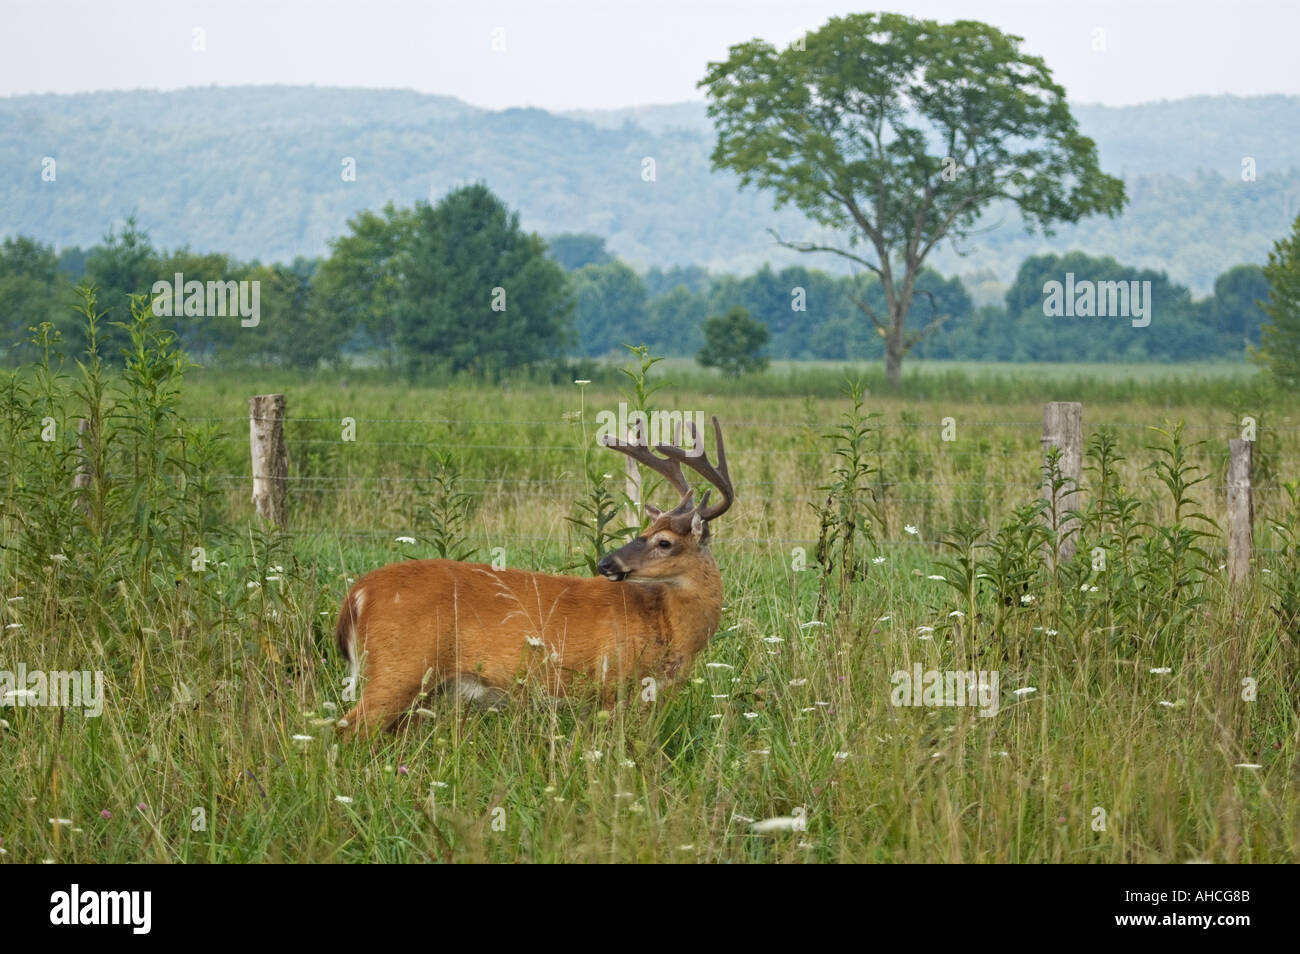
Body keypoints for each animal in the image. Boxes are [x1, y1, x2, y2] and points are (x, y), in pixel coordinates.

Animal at [335, 418, 733, 738]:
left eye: (663, 541)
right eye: (650, 533)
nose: (606, 563)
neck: (667, 623)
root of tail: (357, 594)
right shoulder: (612, 683)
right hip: (398, 667)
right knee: (349, 729)